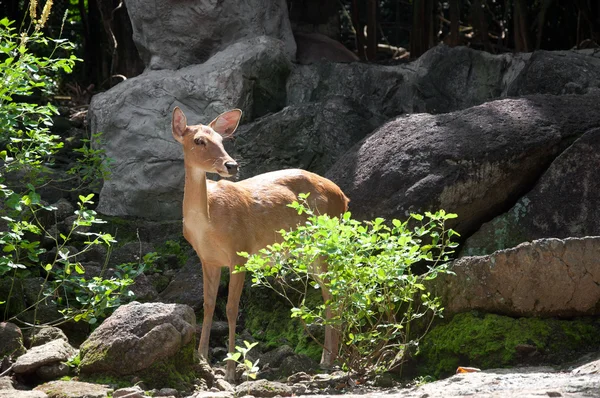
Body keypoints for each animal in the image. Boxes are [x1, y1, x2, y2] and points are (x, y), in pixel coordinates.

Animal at [171, 105, 350, 382]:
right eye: (198, 140)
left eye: (222, 140)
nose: (231, 165)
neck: (208, 223)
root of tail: (344, 198)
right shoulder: (207, 258)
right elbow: (209, 305)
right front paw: (201, 359)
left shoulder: (240, 250)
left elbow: (231, 308)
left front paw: (230, 371)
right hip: (310, 251)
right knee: (331, 290)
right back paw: (329, 359)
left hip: (324, 239)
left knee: (336, 290)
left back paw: (331, 360)